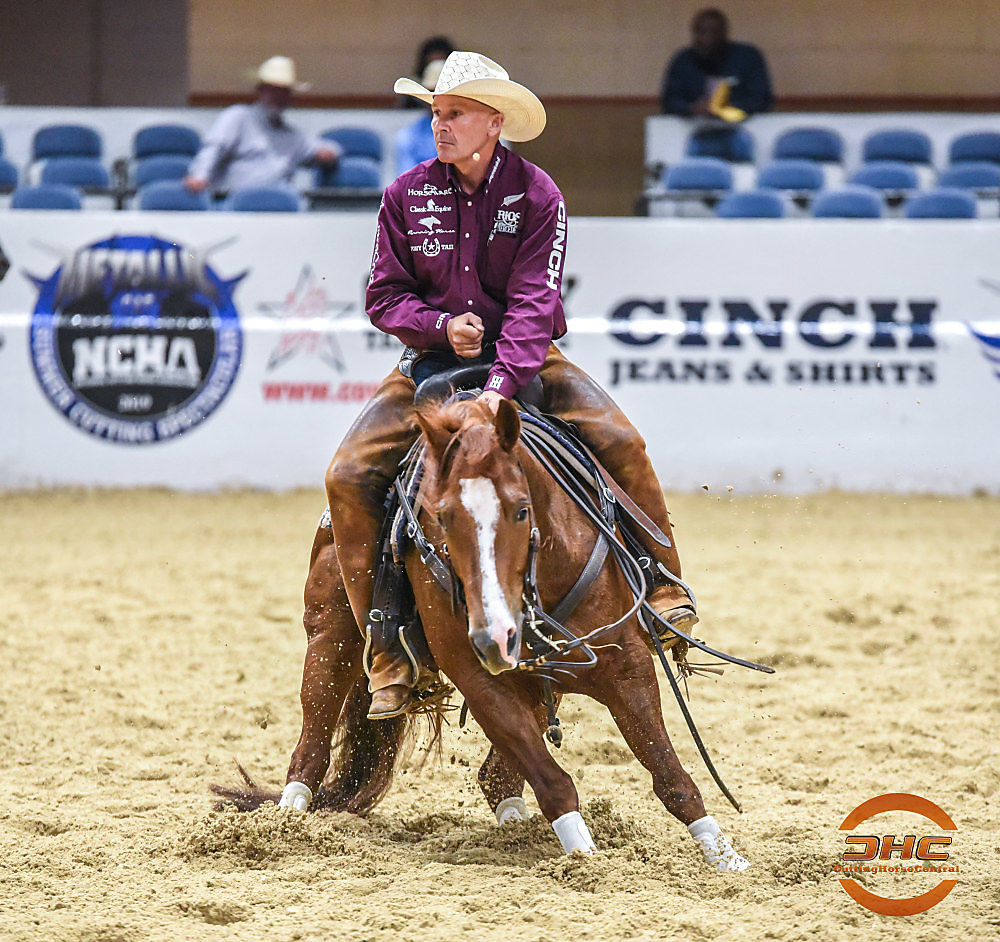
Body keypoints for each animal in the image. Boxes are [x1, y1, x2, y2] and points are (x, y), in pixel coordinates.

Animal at [215, 394, 752, 869]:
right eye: (442, 515)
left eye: (521, 509)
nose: (495, 636)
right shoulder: (478, 678)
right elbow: (554, 783)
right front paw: (587, 861)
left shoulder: (625, 664)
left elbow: (671, 775)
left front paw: (727, 860)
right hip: (332, 635)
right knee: (312, 740)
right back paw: (284, 826)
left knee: (497, 777)